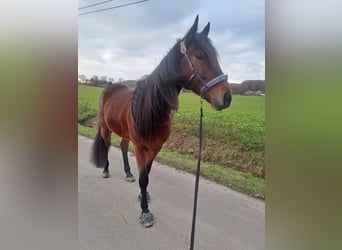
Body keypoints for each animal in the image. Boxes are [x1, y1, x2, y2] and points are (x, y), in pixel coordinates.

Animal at [90, 14, 232, 228]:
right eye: (199, 56)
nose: (226, 97)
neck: (151, 109)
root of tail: (109, 88)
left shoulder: (156, 147)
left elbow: (146, 174)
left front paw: (144, 196)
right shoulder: (141, 146)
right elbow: (144, 179)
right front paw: (145, 211)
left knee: (123, 148)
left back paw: (128, 173)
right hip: (106, 128)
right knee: (106, 146)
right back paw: (106, 170)